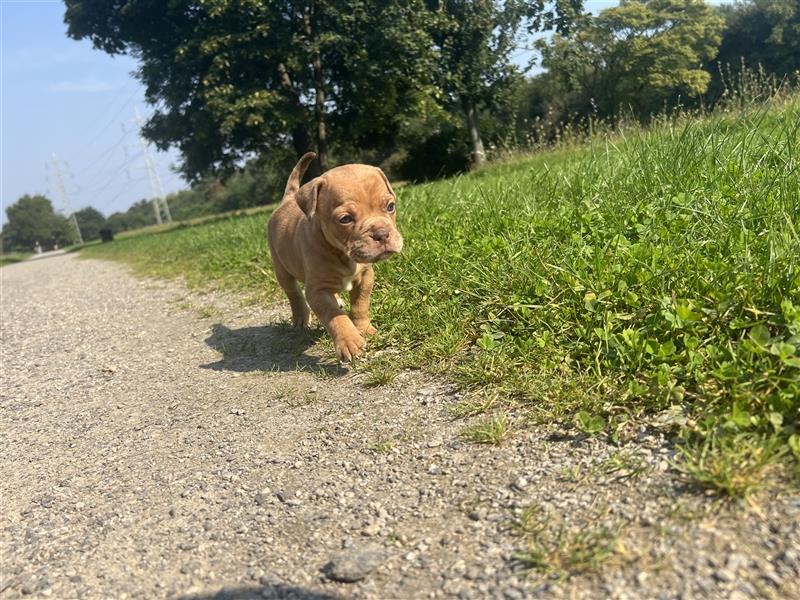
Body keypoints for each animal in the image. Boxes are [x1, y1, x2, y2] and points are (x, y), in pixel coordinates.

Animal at [268, 152, 404, 364]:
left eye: (390, 206)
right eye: (345, 219)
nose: (382, 234)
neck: (342, 253)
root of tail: (287, 200)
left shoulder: (366, 277)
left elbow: (360, 305)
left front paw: (364, 329)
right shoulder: (316, 291)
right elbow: (333, 315)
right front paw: (349, 341)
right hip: (281, 269)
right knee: (293, 293)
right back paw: (300, 317)